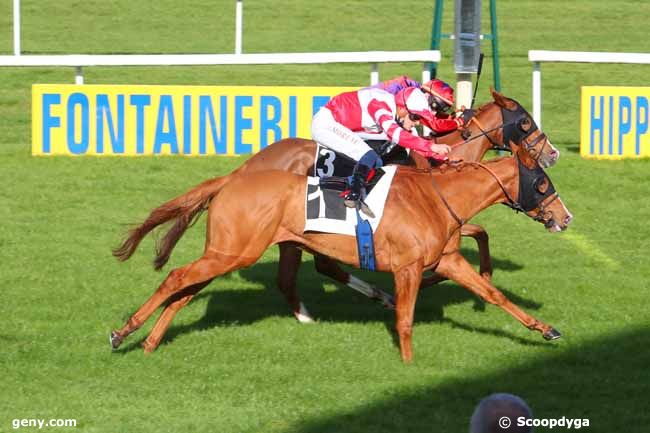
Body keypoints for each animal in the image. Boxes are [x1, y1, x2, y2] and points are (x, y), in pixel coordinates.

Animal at [112, 89, 556, 322]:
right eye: (526, 123)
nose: (551, 154)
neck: (437, 160)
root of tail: (246, 168)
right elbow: (479, 234)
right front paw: (461, 276)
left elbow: (479, 235)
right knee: (312, 268)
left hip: (292, 234)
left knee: (300, 273)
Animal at [114, 142, 568, 362]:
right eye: (543, 183)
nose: (566, 218)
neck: (437, 196)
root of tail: (231, 179)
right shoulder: (407, 268)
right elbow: (405, 318)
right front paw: (408, 363)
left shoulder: (449, 260)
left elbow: (494, 294)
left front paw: (545, 329)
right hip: (233, 252)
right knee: (176, 279)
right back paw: (124, 332)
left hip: (230, 251)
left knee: (185, 291)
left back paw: (151, 343)